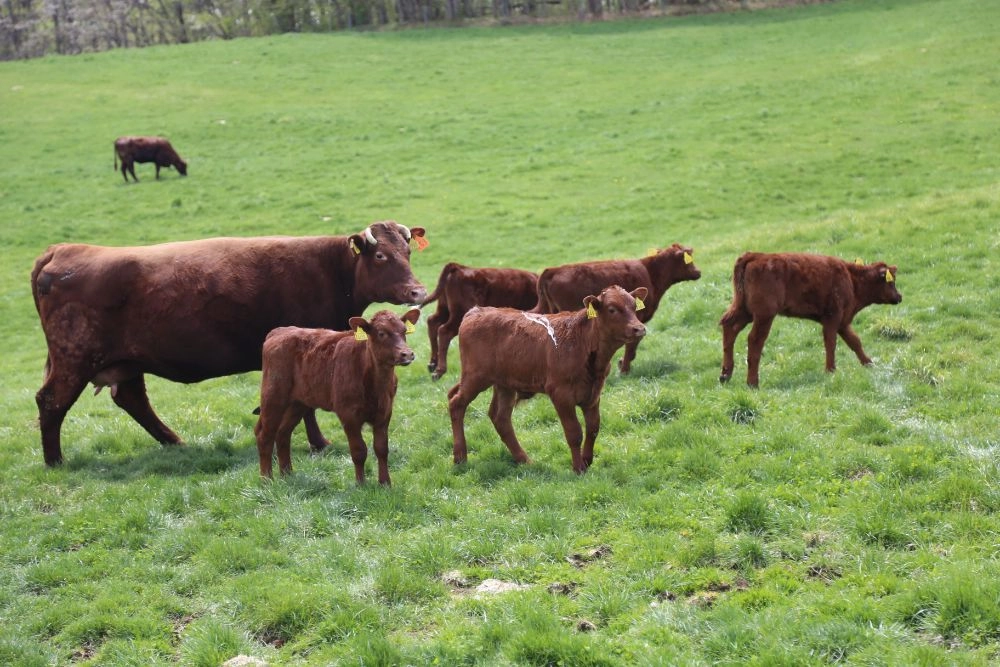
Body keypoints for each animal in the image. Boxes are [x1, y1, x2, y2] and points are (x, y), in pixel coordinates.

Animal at [30, 222, 430, 468]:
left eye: (408, 253)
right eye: (381, 256)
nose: (418, 292)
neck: (330, 269)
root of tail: (62, 250)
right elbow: (307, 406)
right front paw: (320, 443)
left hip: (126, 363)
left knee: (132, 400)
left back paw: (175, 442)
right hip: (74, 360)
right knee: (51, 402)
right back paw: (55, 461)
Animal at [254, 308, 422, 486]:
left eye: (404, 331)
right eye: (382, 333)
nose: (407, 354)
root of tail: (280, 331)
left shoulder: (385, 412)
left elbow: (382, 448)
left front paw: (385, 483)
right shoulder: (348, 414)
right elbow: (359, 450)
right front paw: (361, 484)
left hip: (297, 403)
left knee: (283, 433)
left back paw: (287, 474)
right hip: (273, 397)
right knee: (264, 435)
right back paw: (267, 479)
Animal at [448, 284, 648, 472]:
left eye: (633, 306)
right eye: (612, 309)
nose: (639, 329)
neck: (581, 342)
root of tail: (476, 311)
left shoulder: (593, 393)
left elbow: (593, 428)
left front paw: (587, 460)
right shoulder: (560, 394)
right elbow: (574, 432)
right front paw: (578, 467)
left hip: (505, 384)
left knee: (500, 417)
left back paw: (524, 460)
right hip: (475, 377)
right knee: (456, 403)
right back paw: (460, 456)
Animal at [532, 243, 704, 376]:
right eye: (688, 260)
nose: (698, 272)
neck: (650, 273)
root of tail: (553, 270)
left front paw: (622, 364)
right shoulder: (636, 321)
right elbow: (632, 345)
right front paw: (624, 369)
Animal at [720, 252, 908, 388]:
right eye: (891, 282)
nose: (899, 297)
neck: (851, 278)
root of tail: (756, 255)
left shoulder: (843, 322)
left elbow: (855, 341)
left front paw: (868, 363)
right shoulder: (832, 318)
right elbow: (831, 343)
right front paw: (830, 370)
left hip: (744, 310)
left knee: (729, 327)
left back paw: (725, 375)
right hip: (764, 315)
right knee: (754, 340)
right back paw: (752, 382)